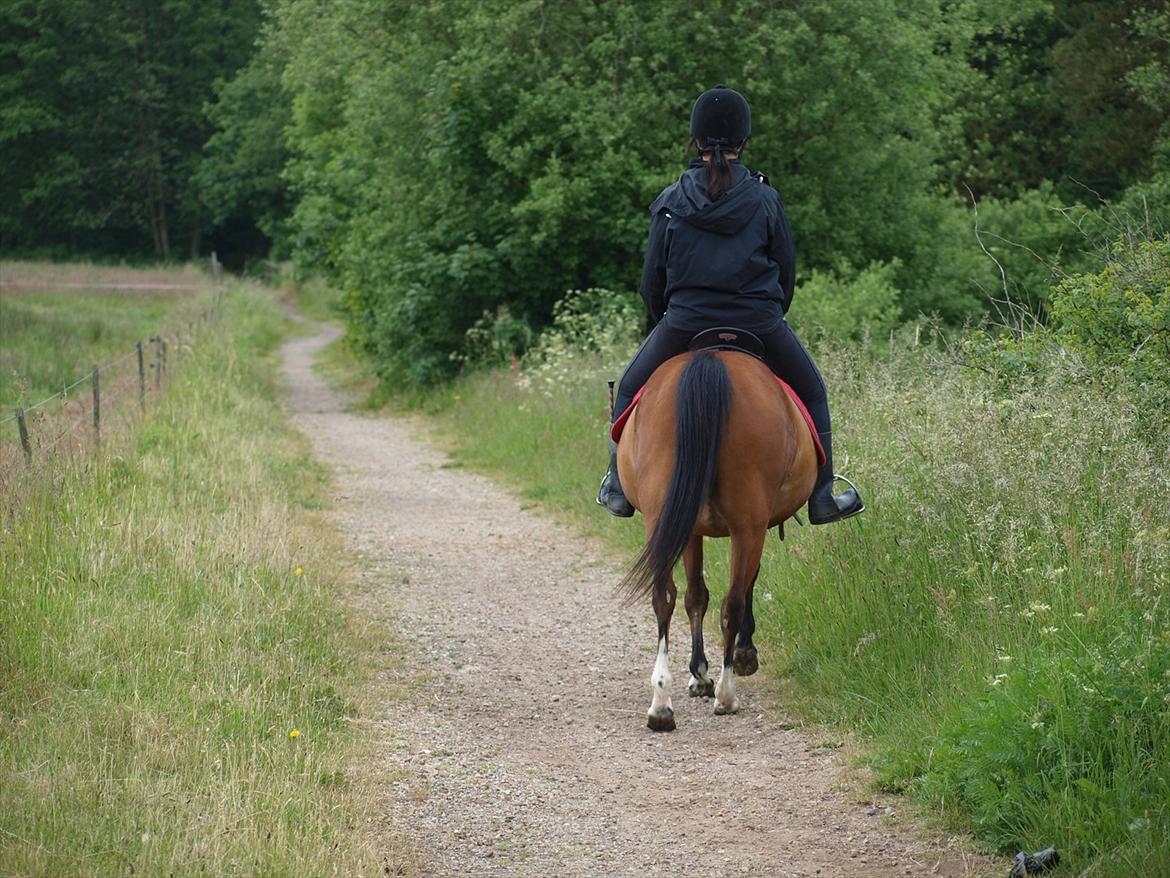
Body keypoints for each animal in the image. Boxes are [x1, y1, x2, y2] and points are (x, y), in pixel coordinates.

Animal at [617, 346, 819, 730]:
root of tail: (709, 359)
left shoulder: (689, 527)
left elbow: (695, 596)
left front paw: (699, 674)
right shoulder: (752, 527)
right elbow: (737, 587)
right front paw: (736, 659)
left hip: (663, 518)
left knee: (664, 596)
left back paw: (661, 703)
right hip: (747, 525)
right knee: (732, 602)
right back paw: (726, 694)